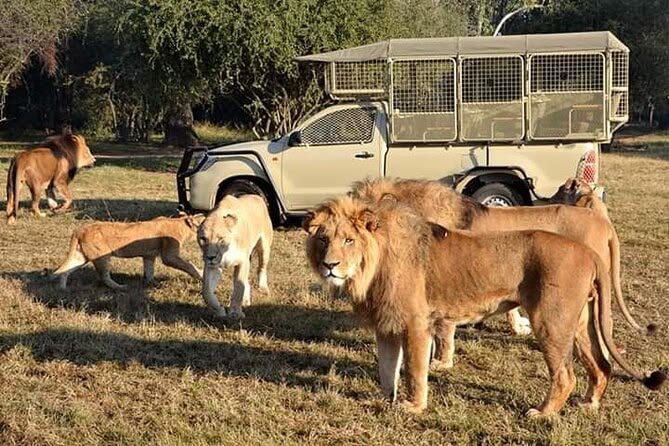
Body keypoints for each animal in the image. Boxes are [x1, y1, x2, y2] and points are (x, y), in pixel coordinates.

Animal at [50, 214, 204, 289]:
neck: (182, 224)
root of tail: (79, 230)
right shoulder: (169, 256)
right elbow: (189, 266)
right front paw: (201, 274)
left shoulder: (149, 256)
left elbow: (149, 271)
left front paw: (151, 284)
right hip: (102, 257)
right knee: (104, 277)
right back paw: (121, 287)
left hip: (80, 257)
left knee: (65, 270)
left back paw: (62, 289)